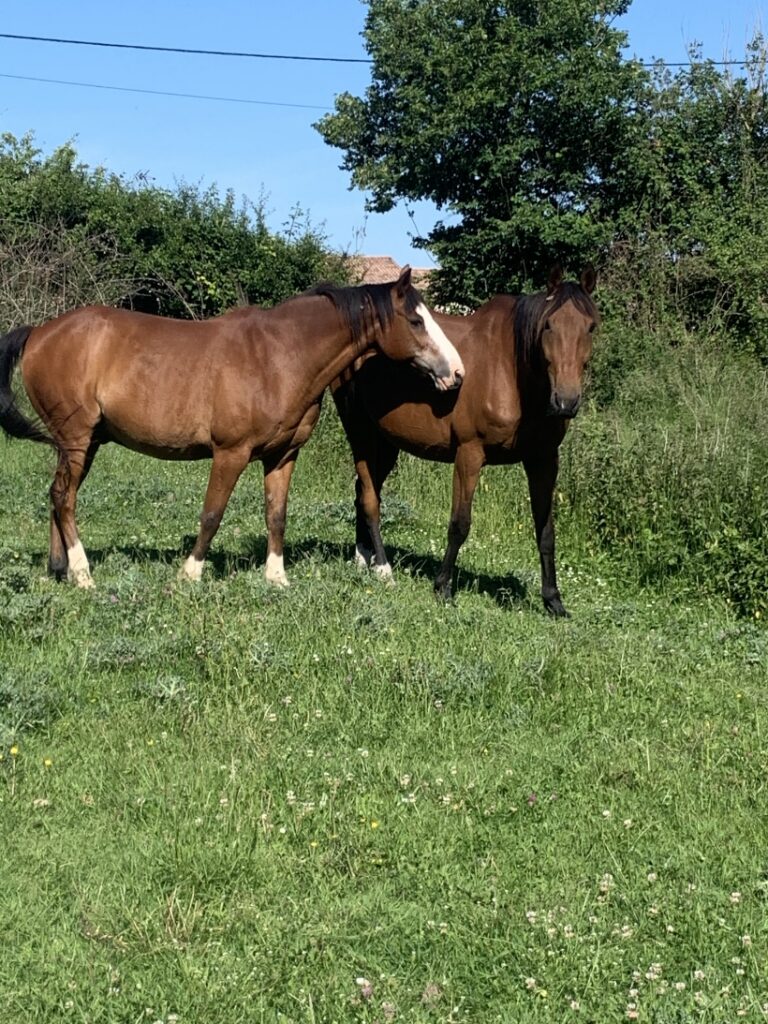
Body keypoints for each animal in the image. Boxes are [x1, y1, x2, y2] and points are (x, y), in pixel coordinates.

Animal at [0, 268, 462, 589]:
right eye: (416, 321)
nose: (457, 373)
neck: (279, 356)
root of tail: (40, 332)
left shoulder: (282, 456)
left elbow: (276, 515)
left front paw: (277, 578)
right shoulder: (230, 453)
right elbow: (212, 513)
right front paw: (190, 574)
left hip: (83, 443)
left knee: (60, 496)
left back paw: (60, 570)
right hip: (77, 439)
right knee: (64, 498)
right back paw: (83, 575)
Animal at [333, 266, 598, 614]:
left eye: (591, 326)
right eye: (548, 325)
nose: (565, 401)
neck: (510, 372)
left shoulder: (543, 459)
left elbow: (546, 531)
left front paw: (553, 599)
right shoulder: (469, 455)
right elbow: (460, 524)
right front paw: (443, 587)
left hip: (385, 441)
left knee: (364, 493)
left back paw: (364, 558)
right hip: (360, 431)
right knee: (369, 499)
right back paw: (381, 567)